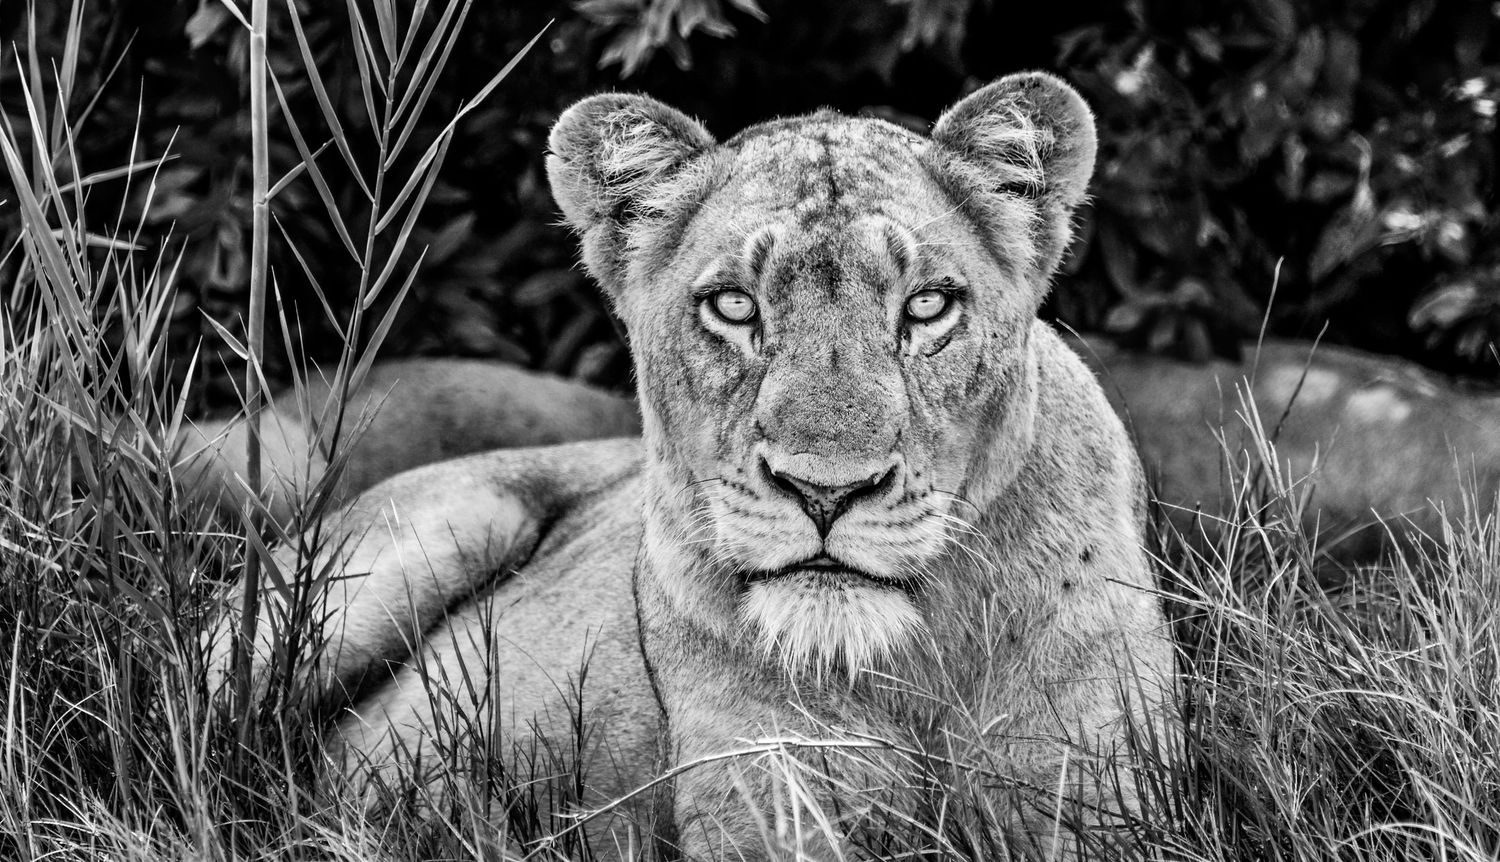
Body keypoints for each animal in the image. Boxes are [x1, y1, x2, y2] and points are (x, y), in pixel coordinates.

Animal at [210, 72, 1172, 858]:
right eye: (734, 307)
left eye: (928, 306)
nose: (825, 492)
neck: (908, 667)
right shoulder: (767, 805)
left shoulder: (1103, 806)